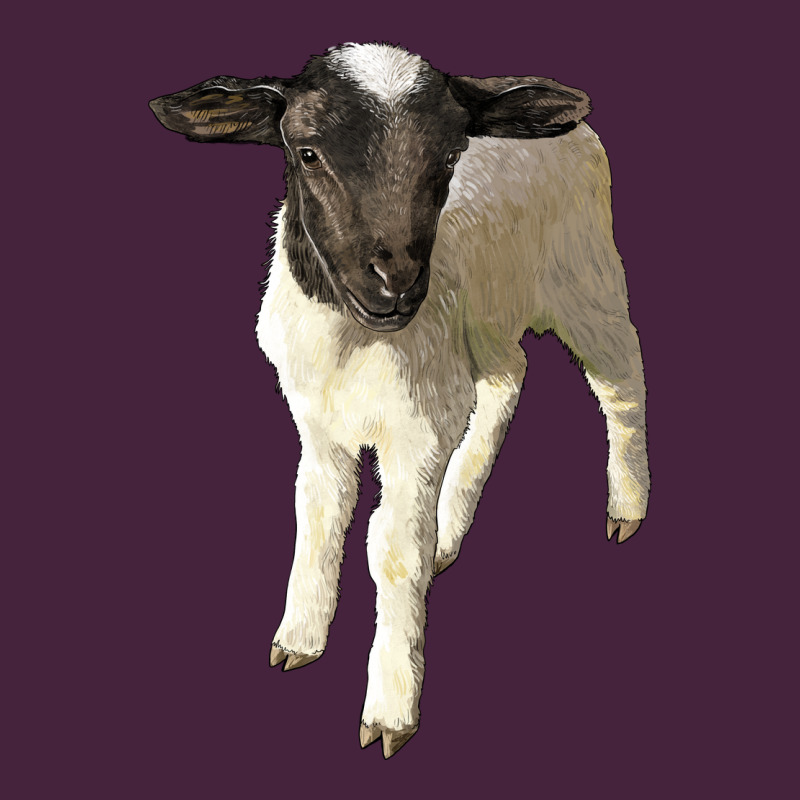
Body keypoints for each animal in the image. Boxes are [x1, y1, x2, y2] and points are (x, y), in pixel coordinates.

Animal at [149, 42, 650, 759]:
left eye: (450, 155)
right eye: (307, 151)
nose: (396, 285)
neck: (353, 343)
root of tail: (573, 124)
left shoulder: (416, 432)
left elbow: (391, 552)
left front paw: (390, 710)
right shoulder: (318, 423)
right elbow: (318, 516)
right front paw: (298, 639)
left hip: (585, 274)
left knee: (620, 378)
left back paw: (626, 507)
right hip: (484, 320)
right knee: (509, 375)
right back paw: (452, 525)